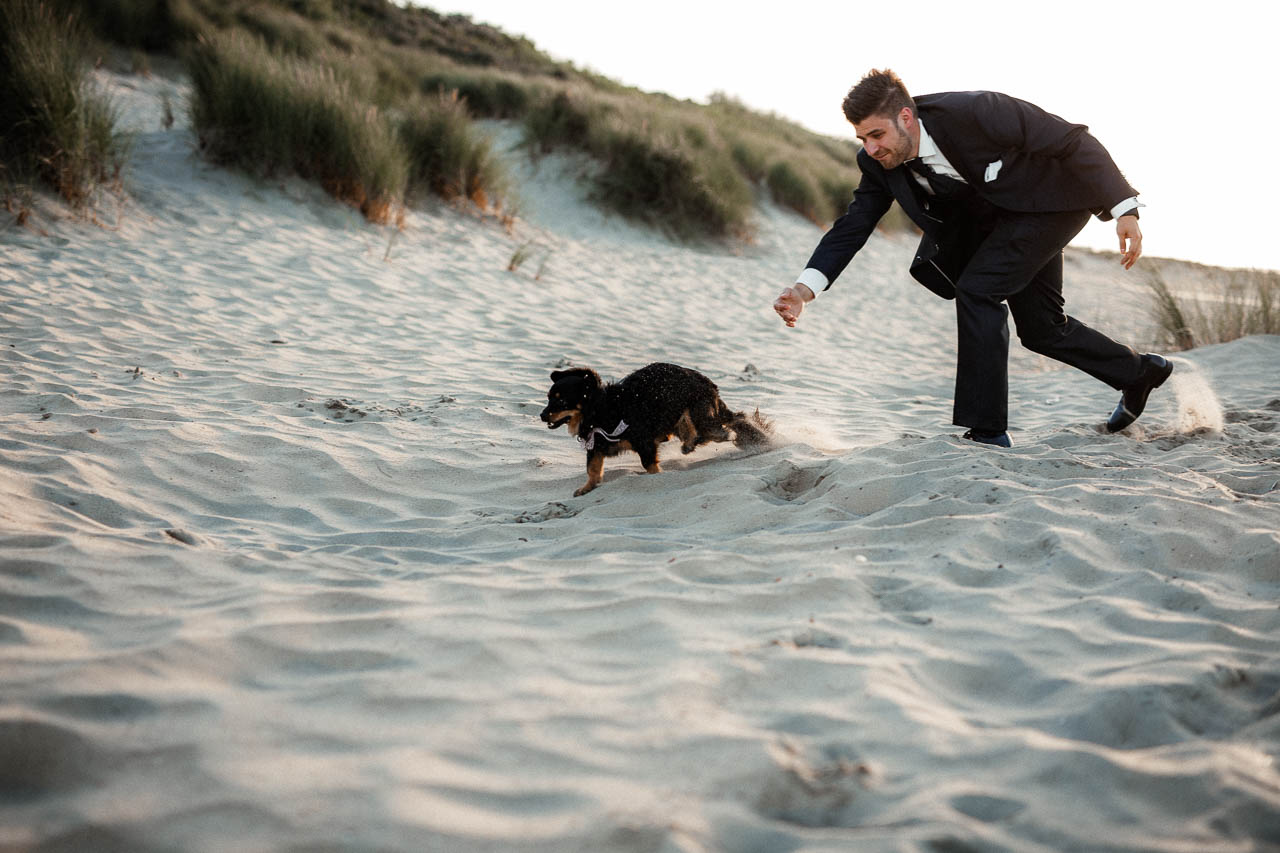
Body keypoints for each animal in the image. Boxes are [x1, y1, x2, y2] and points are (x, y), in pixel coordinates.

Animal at [540, 361, 768, 494]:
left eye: (561, 401)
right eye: (549, 398)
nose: (542, 415)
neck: (602, 410)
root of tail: (710, 385)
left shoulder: (644, 443)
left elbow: (649, 464)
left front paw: (658, 476)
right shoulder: (596, 445)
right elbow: (592, 469)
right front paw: (587, 487)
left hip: (701, 416)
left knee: (723, 428)